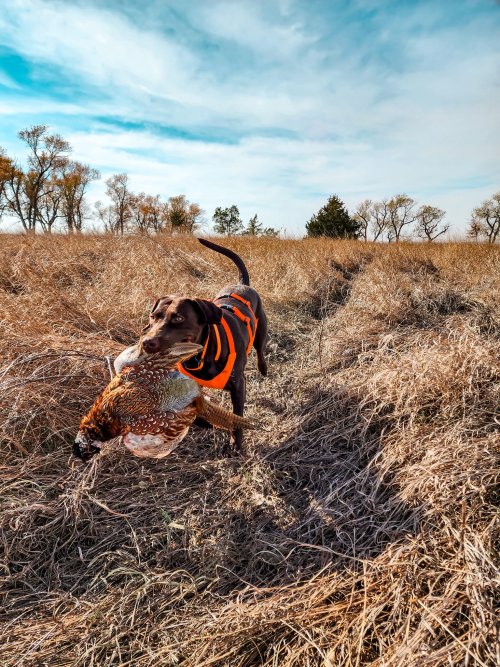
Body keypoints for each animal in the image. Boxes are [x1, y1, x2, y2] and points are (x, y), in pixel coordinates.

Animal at [139, 237, 268, 452]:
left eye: (178, 318)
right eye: (153, 316)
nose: (147, 342)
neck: (202, 355)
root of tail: (241, 284)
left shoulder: (238, 384)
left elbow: (238, 417)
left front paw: (236, 443)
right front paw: (205, 422)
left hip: (261, 330)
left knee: (260, 350)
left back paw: (263, 368)